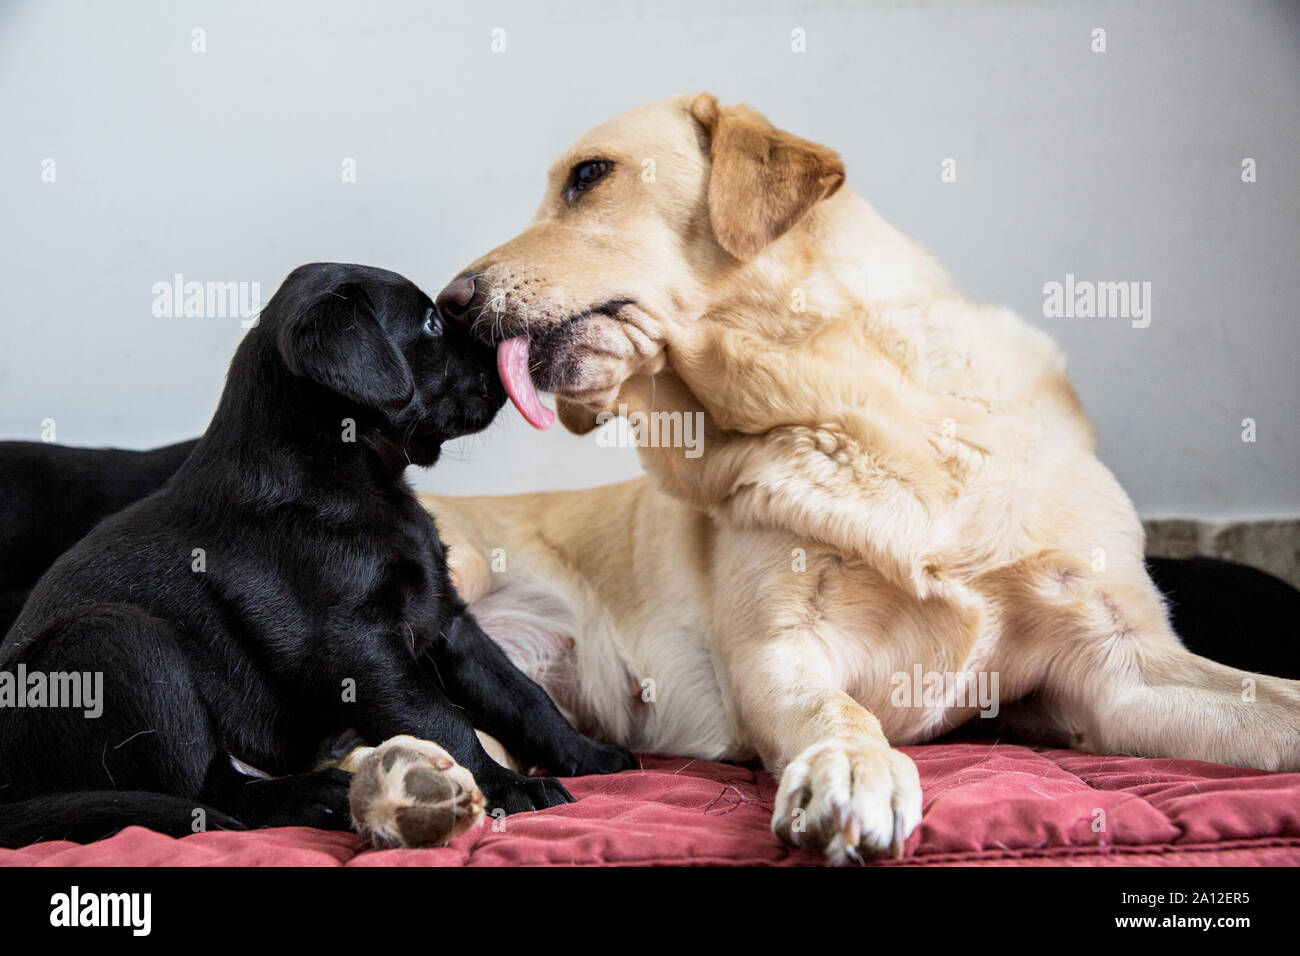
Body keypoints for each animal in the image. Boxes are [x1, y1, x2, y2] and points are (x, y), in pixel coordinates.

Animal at [0, 260, 631, 842]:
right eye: (430, 322)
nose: (509, 348)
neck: (349, 473)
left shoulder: (447, 619)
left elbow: (520, 695)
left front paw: (590, 754)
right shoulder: (357, 647)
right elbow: (441, 720)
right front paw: (505, 786)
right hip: (120, 640)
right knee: (211, 789)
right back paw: (311, 796)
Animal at [421, 93, 1294, 863]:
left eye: (589, 175)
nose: (448, 302)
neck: (848, 412)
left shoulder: (1120, 669)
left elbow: (1278, 701)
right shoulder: (779, 653)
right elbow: (837, 712)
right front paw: (850, 771)